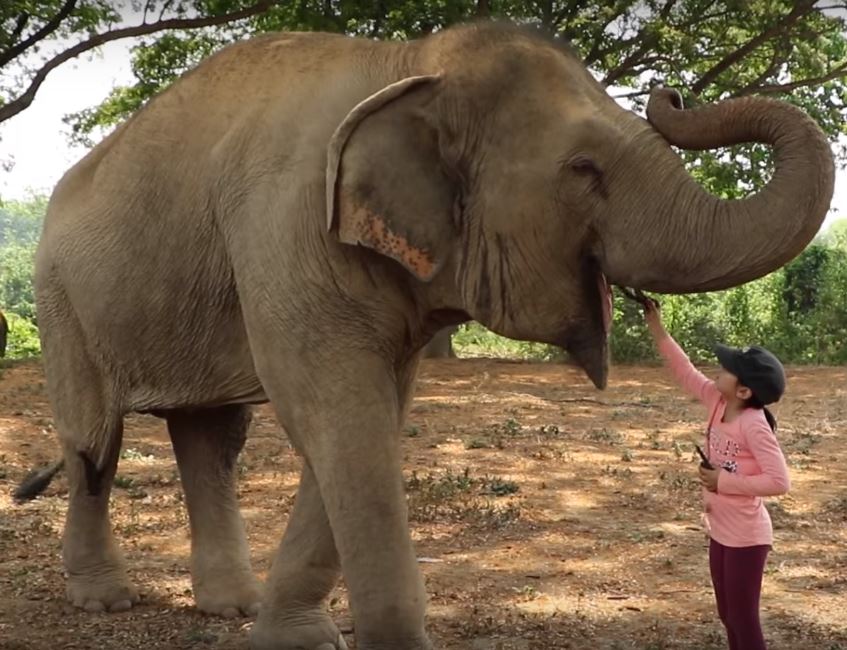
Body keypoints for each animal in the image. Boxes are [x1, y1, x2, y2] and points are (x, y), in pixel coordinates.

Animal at [29, 20, 834, 650]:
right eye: (582, 168)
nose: (671, 97)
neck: (406, 63)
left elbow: (369, 416)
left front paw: (293, 637)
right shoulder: (283, 230)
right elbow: (335, 414)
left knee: (211, 442)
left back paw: (235, 606)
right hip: (58, 297)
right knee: (93, 442)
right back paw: (104, 599)